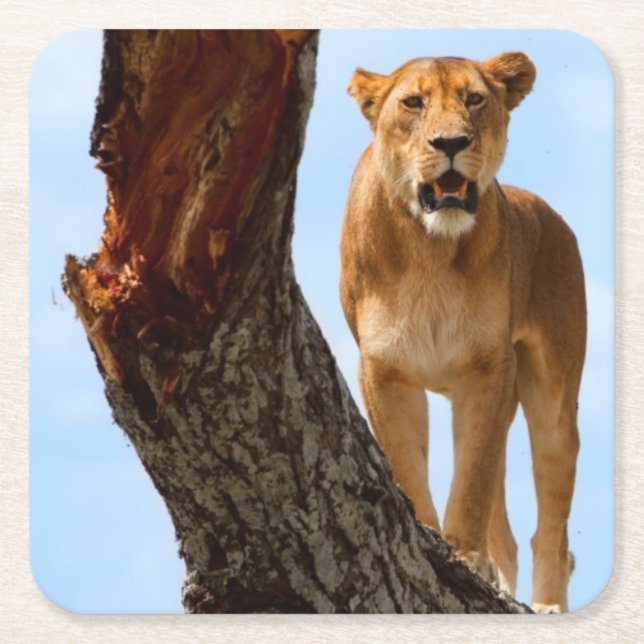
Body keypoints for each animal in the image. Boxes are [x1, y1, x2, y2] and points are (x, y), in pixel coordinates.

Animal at [339, 52, 586, 614]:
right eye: (413, 102)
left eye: (475, 99)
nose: (450, 143)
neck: (430, 250)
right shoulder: (385, 370)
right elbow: (408, 466)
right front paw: (429, 540)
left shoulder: (488, 369)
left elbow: (471, 481)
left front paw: (462, 558)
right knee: (510, 538)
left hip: (551, 397)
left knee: (552, 530)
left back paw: (547, 606)